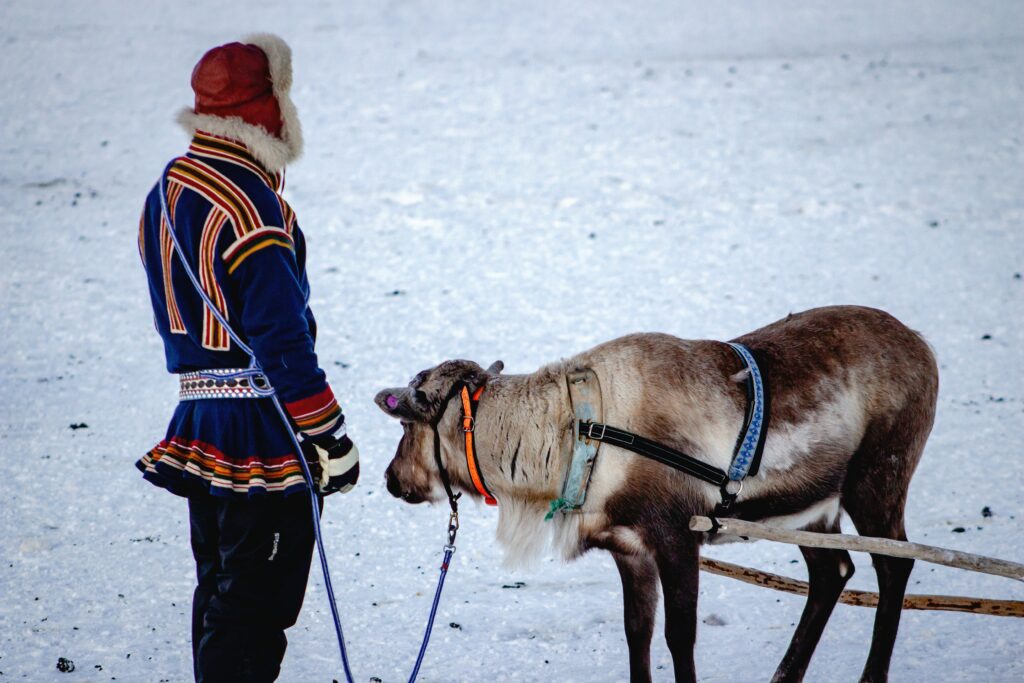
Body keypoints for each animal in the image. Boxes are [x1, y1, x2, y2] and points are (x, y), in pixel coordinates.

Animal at [374, 305, 938, 682]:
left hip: (876, 481)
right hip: (811, 511)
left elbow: (679, 637)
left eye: (405, 426)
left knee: (894, 565)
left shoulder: (677, 535)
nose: (390, 478)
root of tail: (925, 347)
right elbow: (638, 632)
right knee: (833, 572)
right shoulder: (629, 546)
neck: (571, 438)